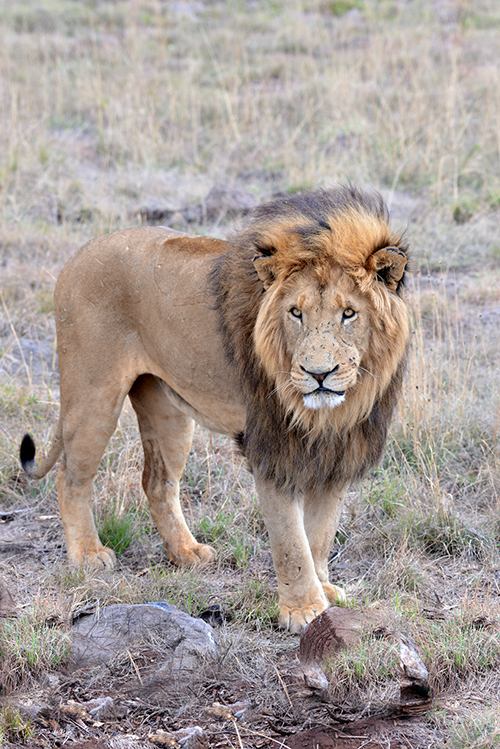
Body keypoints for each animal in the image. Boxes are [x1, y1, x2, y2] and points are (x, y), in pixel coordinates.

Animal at [21, 186, 408, 632]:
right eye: (296, 312)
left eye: (349, 314)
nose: (319, 373)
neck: (328, 414)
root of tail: (79, 253)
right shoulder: (271, 450)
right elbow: (292, 541)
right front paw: (302, 610)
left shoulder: (337, 452)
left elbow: (321, 534)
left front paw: (324, 590)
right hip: (93, 393)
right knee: (71, 476)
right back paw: (88, 555)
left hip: (168, 410)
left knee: (157, 482)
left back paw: (187, 553)